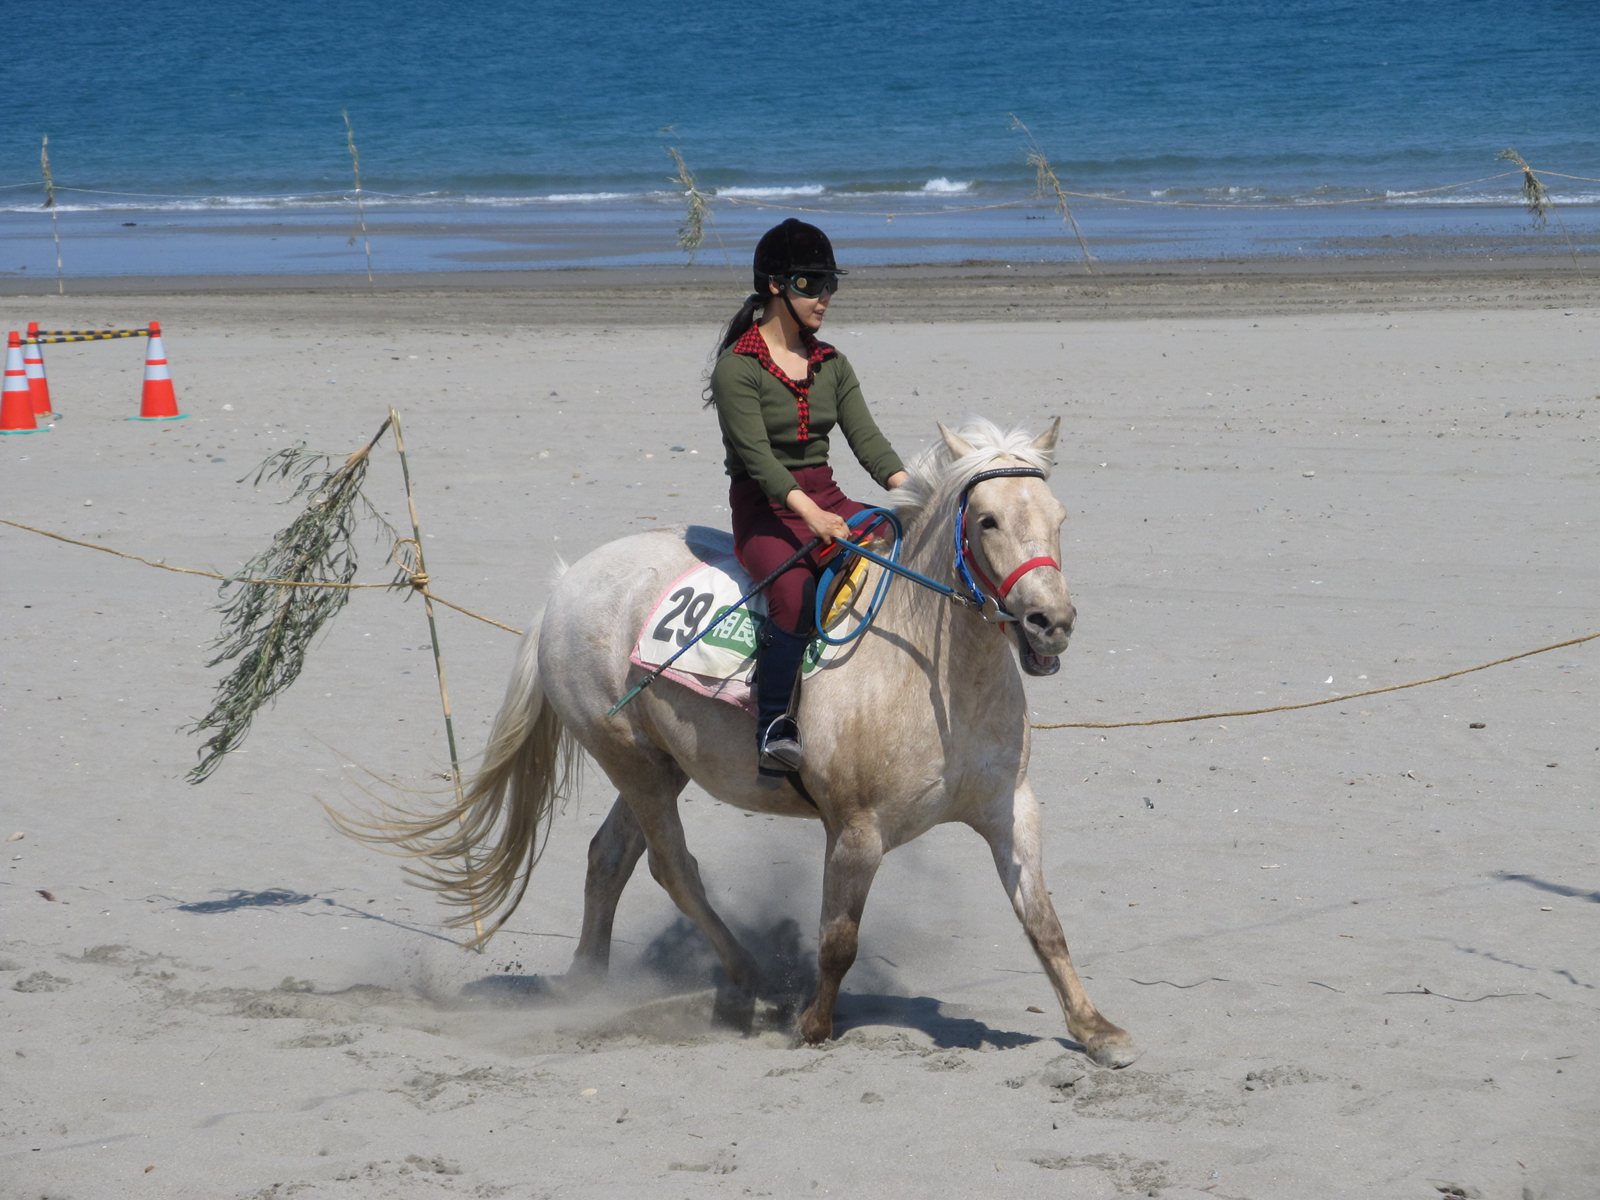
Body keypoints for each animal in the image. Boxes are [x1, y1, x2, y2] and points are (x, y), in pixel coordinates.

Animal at [343, 416, 1138, 1068]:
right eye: (988, 519)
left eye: (1059, 518)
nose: (1050, 623)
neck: (930, 670)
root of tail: (567, 586)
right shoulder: (856, 831)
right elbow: (839, 938)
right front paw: (812, 1026)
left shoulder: (1011, 810)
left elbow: (1044, 923)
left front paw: (1098, 1032)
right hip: (632, 761)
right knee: (672, 868)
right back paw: (751, 981)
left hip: (659, 765)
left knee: (608, 860)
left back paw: (588, 986)